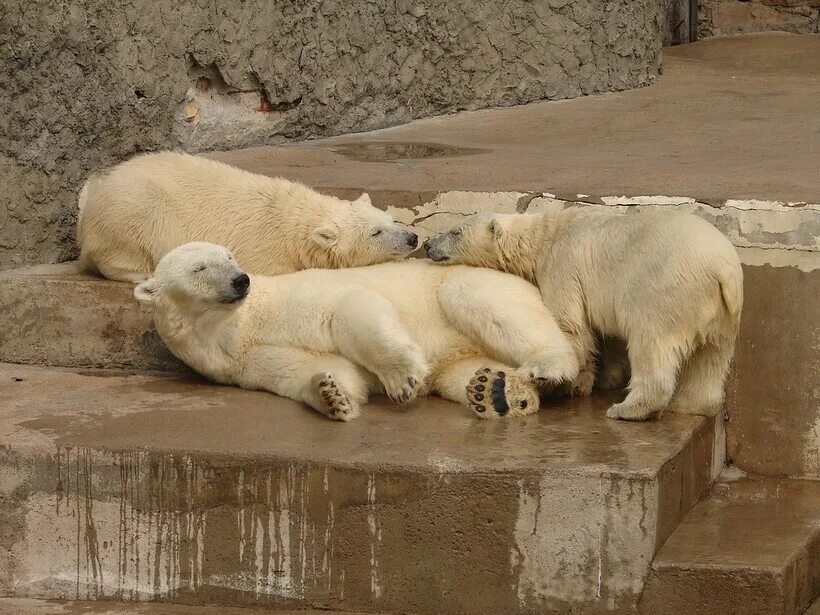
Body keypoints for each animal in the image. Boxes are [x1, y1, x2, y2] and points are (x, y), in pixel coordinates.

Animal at [77, 153, 420, 282]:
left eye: (389, 220)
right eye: (375, 232)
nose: (412, 237)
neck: (294, 222)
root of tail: (91, 193)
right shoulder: (265, 252)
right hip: (134, 210)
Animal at [135, 243, 580, 422]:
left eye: (229, 256)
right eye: (200, 268)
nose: (240, 280)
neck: (238, 327)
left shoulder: (290, 299)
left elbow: (351, 307)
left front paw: (402, 379)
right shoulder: (241, 361)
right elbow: (303, 370)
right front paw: (332, 397)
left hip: (475, 284)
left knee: (476, 299)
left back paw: (546, 366)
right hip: (463, 357)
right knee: (462, 372)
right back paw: (498, 392)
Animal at [422, 208, 744, 424]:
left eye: (456, 231)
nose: (427, 244)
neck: (543, 237)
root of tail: (722, 268)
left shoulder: (563, 267)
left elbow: (571, 326)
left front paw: (569, 384)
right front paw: (601, 377)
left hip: (665, 289)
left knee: (651, 344)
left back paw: (629, 409)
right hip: (723, 313)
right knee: (712, 357)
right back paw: (689, 405)